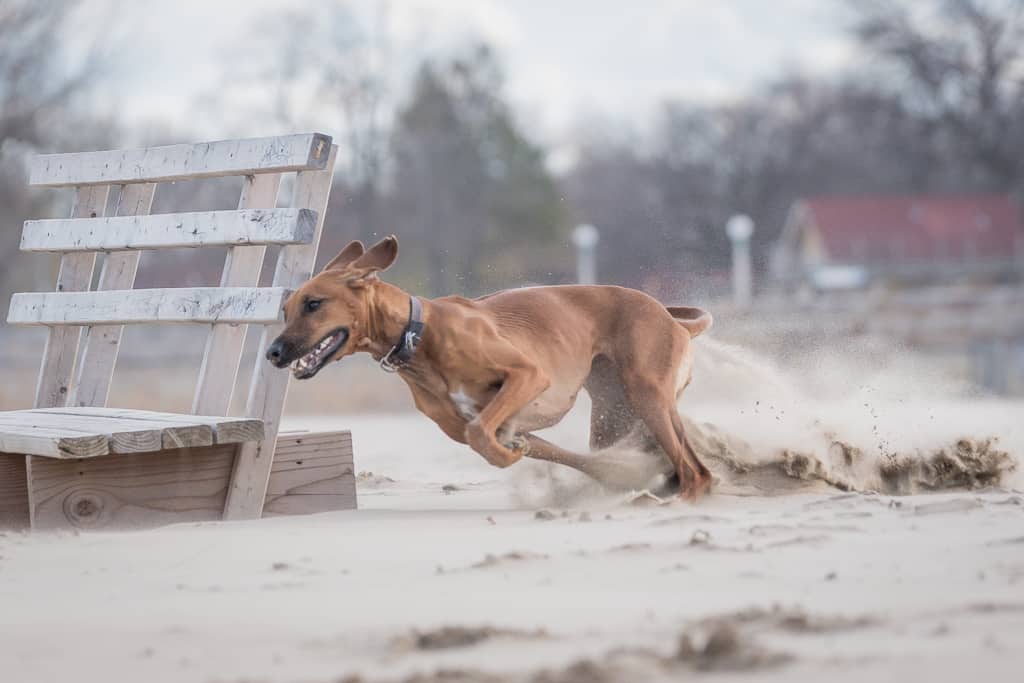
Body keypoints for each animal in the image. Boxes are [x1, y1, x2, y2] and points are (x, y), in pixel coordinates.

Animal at [264, 237, 716, 499]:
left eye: (314, 304)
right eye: (285, 311)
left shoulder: (528, 376)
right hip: (613, 414)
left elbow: (481, 431)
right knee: (691, 468)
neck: (417, 334)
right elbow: (497, 437)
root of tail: (672, 319)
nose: (273, 352)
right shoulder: (508, 423)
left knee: (695, 472)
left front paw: (508, 458)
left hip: (646, 394)